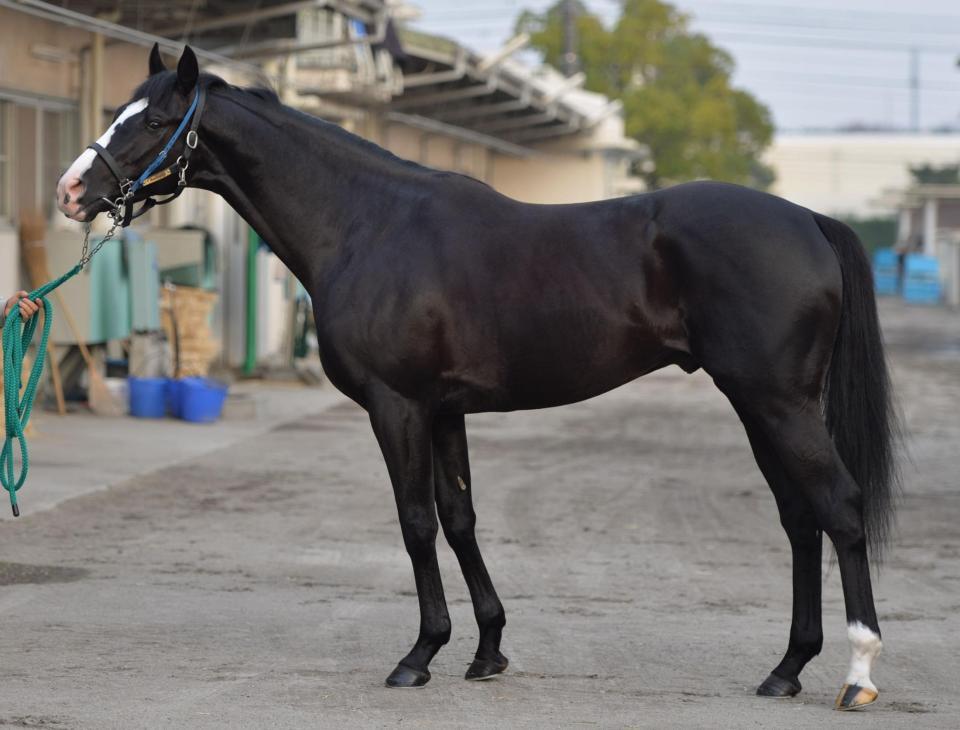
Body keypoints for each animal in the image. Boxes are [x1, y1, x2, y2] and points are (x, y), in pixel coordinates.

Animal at [56, 45, 899, 711]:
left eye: (154, 123)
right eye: (118, 111)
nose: (70, 192)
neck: (368, 224)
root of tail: (808, 219)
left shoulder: (396, 406)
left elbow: (416, 522)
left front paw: (419, 654)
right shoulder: (444, 410)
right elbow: (460, 518)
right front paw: (487, 649)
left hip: (778, 403)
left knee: (840, 508)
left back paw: (857, 675)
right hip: (758, 405)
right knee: (799, 519)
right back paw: (786, 669)